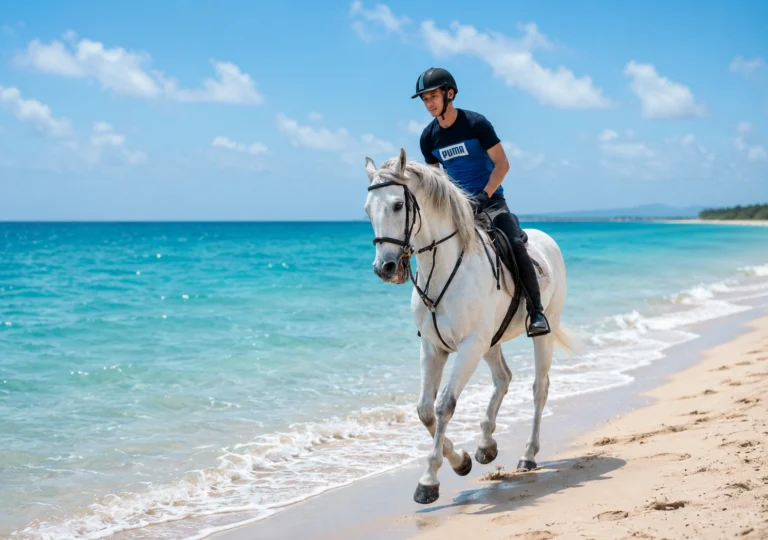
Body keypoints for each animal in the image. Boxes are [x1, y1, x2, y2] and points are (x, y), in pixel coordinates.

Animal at [363, 148, 570, 505]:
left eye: (398, 205)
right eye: (367, 211)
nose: (385, 268)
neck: (442, 268)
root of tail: (547, 239)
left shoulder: (469, 345)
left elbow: (444, 405)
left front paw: (429, 481)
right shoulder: (433, 347)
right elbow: (425, 410)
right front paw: (460, 460)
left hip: (541, 332)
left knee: (539, 389)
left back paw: (528, 454)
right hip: (491, 341)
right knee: (503, 378)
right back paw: (487, 445)